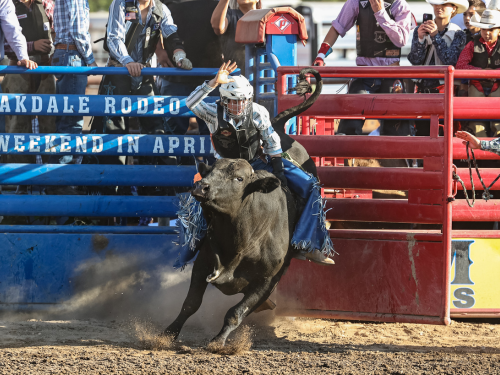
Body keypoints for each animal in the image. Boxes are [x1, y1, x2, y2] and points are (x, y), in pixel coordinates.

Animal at [166, 159, 298, 346]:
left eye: (239, 178)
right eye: (209, 171)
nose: (201, 187)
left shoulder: (267, 282)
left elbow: (236, 313)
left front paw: (218, 341)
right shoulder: (202, 264)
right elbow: (190, 303)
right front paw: (169, 333)